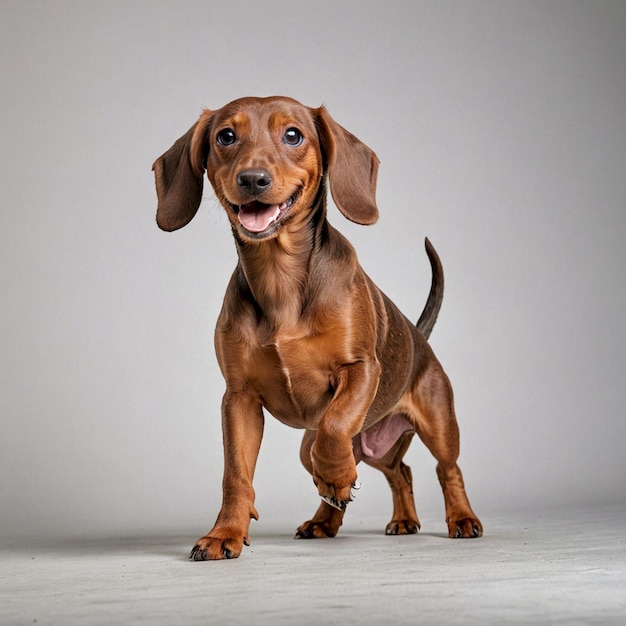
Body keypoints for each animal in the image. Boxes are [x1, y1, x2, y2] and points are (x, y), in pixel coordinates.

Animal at [152, 95, 482, 560]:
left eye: (293, 135)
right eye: (225, 136)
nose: (252, 179)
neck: (280, 279)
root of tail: (421, 338)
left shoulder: (361, 369)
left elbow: (335, 425)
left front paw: (338, 476)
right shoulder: (238, 400)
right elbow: (236, 475)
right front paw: (225, 533)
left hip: (439, 425)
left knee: (446, 469)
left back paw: (461, 518)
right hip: (340, 447)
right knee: (397, 470)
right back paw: (354, 519)